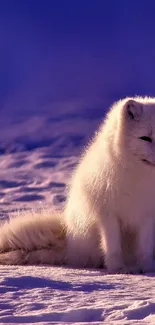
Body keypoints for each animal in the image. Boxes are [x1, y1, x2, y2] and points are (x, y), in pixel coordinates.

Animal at [0, 97, 155, 274]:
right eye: (145, 138)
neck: (138, 178)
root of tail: (69, 241)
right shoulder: (108, 214)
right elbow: (113, 246)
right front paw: (118, 269)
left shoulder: (147, 214)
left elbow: (144, 248)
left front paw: (146, 268)